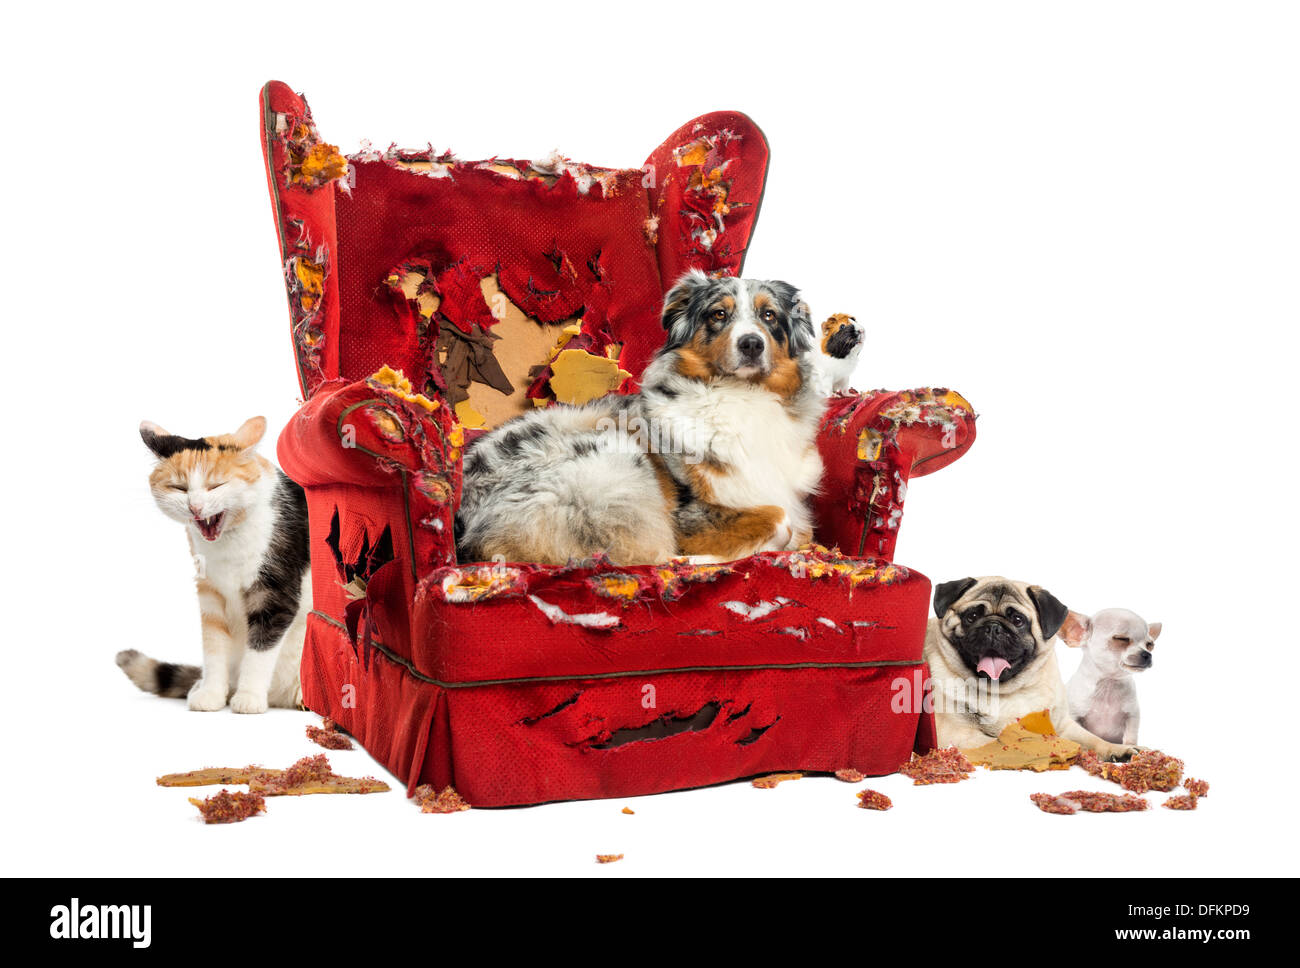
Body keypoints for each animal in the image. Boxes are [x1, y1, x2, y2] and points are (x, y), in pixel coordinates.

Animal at [115, 415, 310, 712]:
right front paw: (211, 694)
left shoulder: (275, 593)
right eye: (179, 488)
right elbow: (214, 648)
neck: (228, 545)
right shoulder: (210, 593)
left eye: (216, 485)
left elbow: (260, 650)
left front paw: (249, 697)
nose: (195, 507)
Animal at [454, 267, 821, 563]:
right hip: (615, 461)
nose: (751, 344)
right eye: (718, 314)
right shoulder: (688, 513)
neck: (741, 394)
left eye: (769, 315)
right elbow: (780, 519)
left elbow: (800, 528)